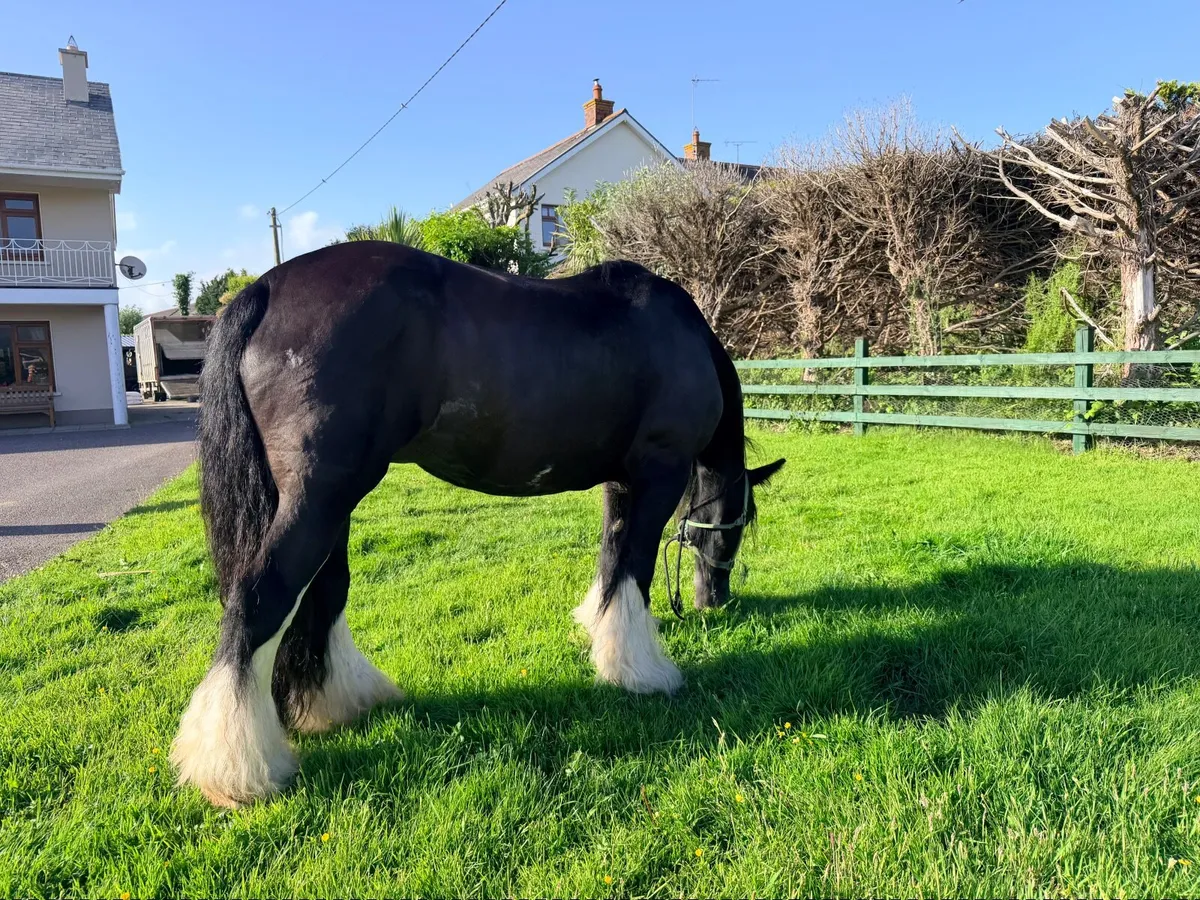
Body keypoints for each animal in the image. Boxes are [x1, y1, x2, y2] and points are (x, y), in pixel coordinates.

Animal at [172, 241, 785, 807]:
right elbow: (634, 567)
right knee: (262, 599)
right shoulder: (659, 472)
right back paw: (236, 769)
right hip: (320, 499)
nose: (715, 600)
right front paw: (641, 670)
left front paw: (598, 629)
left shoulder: (621, 482)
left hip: (326, 503)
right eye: (740, 524)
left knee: (323, 593)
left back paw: (343, 701)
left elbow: (612, 558)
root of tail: (265, 288)